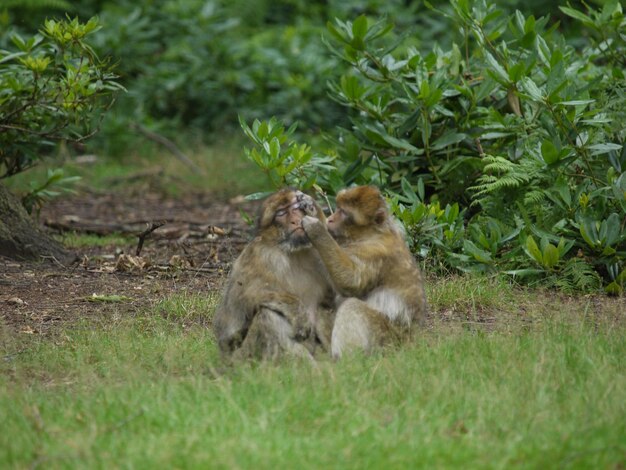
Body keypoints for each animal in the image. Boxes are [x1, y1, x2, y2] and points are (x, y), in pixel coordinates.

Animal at [211, 187, 336, 360]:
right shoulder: (260, 255)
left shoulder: (316, 251)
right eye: (281, 213)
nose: (294, 220)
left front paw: (311, 207)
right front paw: (299, 313)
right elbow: (245, 296)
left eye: (295, 209)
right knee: (268, 314)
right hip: (242, 355)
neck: (293, 250)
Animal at [300, 185, 426, 358]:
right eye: (338, 208)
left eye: (344, 212)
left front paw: (317, 228)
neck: (370, 234)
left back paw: (346, 359)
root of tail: (410, 340)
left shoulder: (375, 253)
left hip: (386, 340)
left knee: (352, 305)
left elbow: (352, 281)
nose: (330, 219)